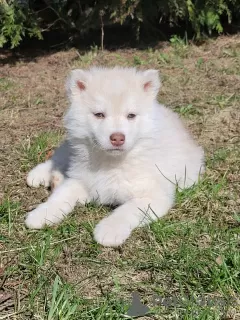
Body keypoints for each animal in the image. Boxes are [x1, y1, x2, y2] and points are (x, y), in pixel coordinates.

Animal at [24, 67, 204, 248]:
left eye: (131, 115)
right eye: (99, 114)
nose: (117, 138)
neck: (112, 162)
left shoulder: (153, 196)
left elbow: (127, 210)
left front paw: (108, 231)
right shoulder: (82, 180)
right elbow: (61, 195)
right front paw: (41, 214)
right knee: (60, 155)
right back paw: (39, 175)